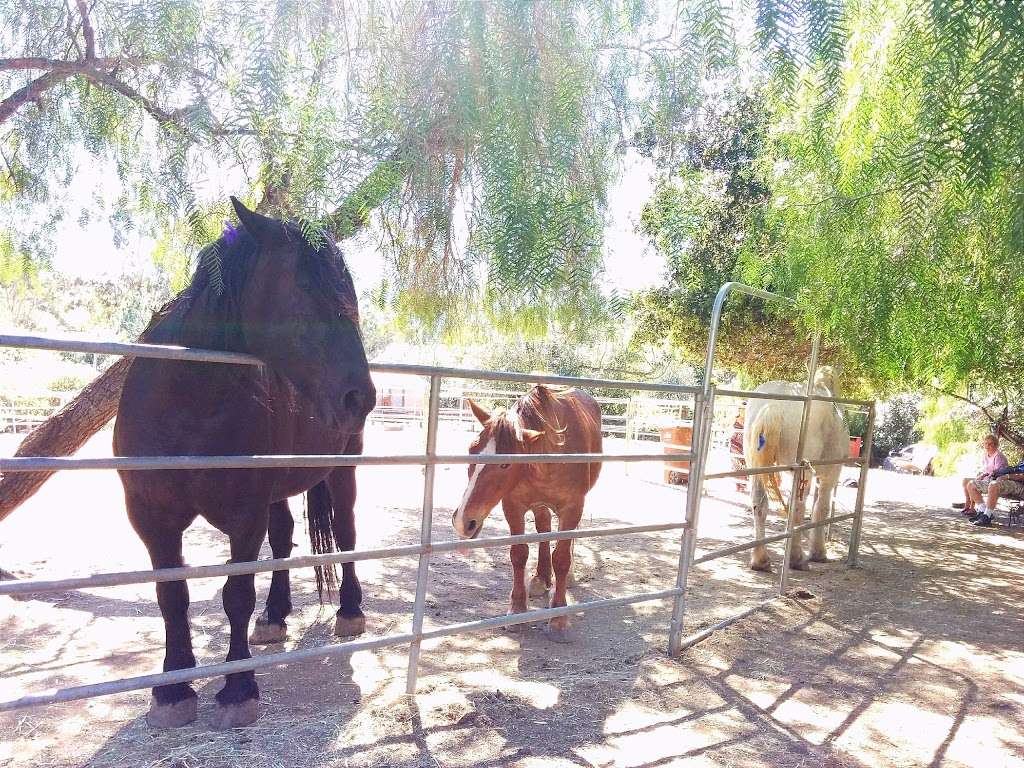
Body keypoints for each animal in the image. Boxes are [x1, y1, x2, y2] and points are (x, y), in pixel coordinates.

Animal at [114, 196, 376, 729]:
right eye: (306, 287)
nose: (361, 397)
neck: (186, 403)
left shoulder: (243, 514)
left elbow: (235, 595)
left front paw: (238, 688)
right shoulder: (152, 518)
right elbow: (172, 596)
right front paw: (173, 689)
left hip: (343, 472)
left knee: (345, 534)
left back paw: (348, 612)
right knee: (283, 539)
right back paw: (275, 617)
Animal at [452, 385, 602, 643]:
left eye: (505, 464)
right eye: (471, 450)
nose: (463, 521)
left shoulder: (572, 507)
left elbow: (561, 558)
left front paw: (559, 617)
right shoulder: (513, 505)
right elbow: (519, 553)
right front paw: (517, 610)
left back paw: (566, 579)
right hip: (539, 505)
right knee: (543, 529)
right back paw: (541, 578)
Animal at [745, 366, 847, 573]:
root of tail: (772, 405)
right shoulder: (830, 473)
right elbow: (821, 508)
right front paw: (818, 553)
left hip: (755, 468)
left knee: (759, 505)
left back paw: (760, 560)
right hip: (801, 472)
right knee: (798, 508)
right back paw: (796, 558)